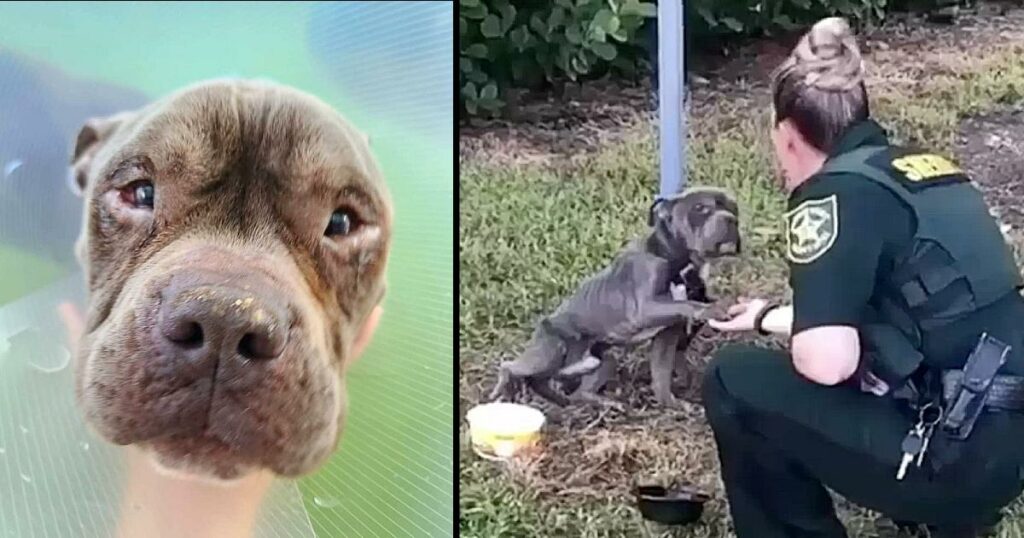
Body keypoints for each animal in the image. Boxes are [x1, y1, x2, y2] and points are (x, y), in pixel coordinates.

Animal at [491, 187, 741, 407]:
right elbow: (687, 304)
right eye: (700, 208)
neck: (678, 261)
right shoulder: (645, 308)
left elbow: (661, 375)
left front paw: (672, 404)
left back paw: (594, 403)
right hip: (552, 351)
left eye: (733, 207)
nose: (731, 219)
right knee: (511, 366)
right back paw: (505, 387)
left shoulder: (667, 335)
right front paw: (712, 309)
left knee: (571, 390)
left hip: (601, 361)